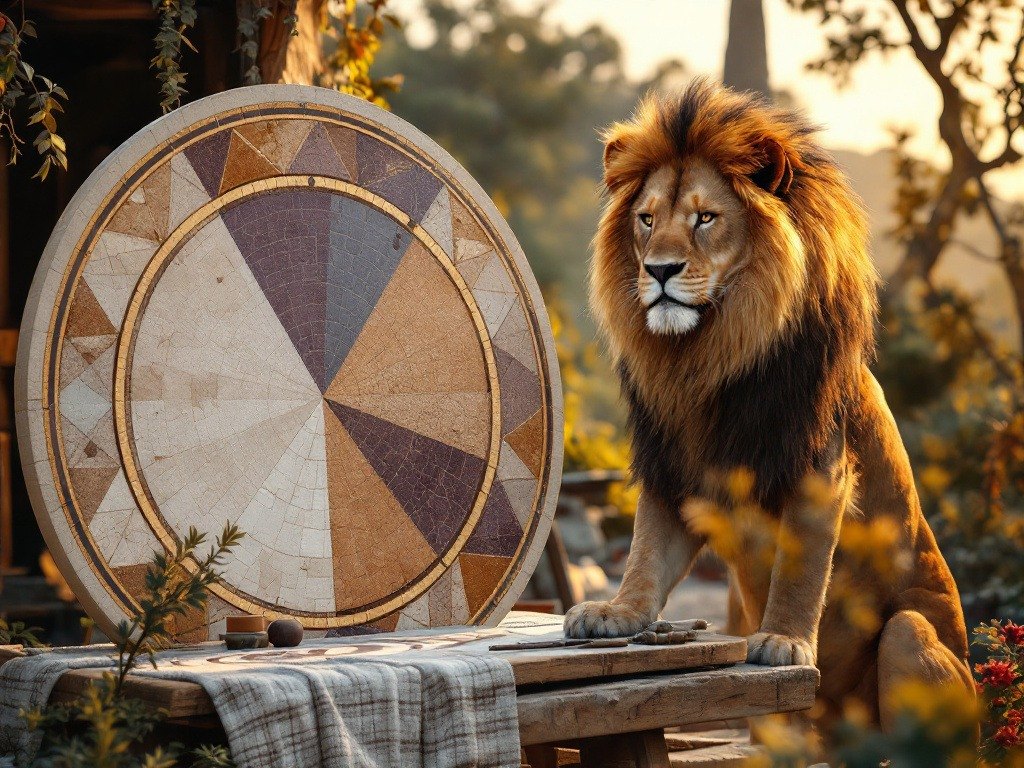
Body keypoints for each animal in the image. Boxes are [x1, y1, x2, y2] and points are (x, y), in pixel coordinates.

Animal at [564, 78, 973, 728]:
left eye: (706, 218)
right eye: (646, 220)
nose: (658, 270)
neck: (707, 361)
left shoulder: (820, 469)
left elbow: (800, 570)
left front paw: (784, 639)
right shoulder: (675, 474)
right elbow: (645, 552)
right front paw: (617, 612)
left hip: (911, 636)